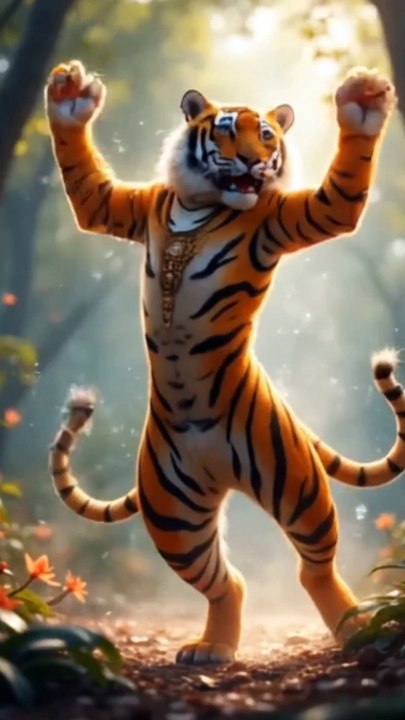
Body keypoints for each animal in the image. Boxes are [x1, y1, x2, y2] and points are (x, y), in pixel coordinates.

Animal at [45, 60, 402, 665]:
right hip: (174, 514)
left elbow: (338, 197)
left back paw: (356, 629)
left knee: (313, 567)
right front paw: (70, 95)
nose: (256, 162)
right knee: (224, 582)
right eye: (229, 131)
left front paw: (361, 101)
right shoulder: (129, 207)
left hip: (296, 485)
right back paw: (212, 648)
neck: (203, 205)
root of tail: (222, 472)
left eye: (269, 136)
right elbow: (89, 190)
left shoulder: (289, 217)